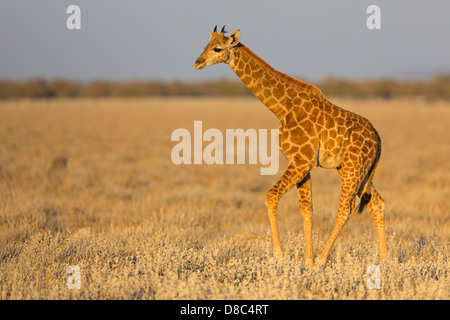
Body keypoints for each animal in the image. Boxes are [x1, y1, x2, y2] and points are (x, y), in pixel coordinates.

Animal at [194, 25, 386, 268]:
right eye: (205, 46)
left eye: (217, 48)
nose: (197, 62)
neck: (283, 108)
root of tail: (377, 137)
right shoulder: (301, 163)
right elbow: (307, 209)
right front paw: (307, 261)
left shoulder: (302, 161)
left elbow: (271, 196)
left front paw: (281, 255)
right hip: (357, 169)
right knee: (376, 203)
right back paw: (385, 260)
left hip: (354, 167)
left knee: (346, 208)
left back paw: (323, 259)